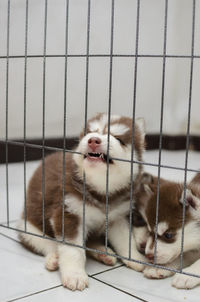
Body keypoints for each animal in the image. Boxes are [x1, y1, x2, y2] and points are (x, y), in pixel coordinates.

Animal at [18, 112, 146, 290]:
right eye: (90, 132)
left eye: (118, 138)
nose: (93, 140)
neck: (101, 190)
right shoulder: (68, 212)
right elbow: (73, 249)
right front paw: (75, 275)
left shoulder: (118, 218)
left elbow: (125, 240)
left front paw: (136, 258)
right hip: (27, 228)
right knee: (47, 244)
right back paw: (54, 258)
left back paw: (104, 253)